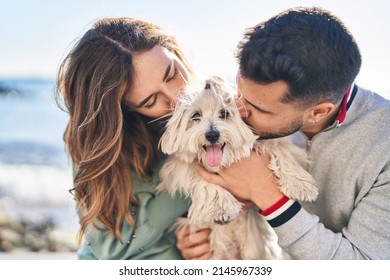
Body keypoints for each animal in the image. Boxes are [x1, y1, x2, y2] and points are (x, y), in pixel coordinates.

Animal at [157, 77, 318, 260]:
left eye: (224, 113)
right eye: (195, 116)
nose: (212, 135)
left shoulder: (270, 140)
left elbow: (279, 150)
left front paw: (299, 184)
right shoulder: (177, 168)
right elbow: (202, 179)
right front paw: (220, 207)